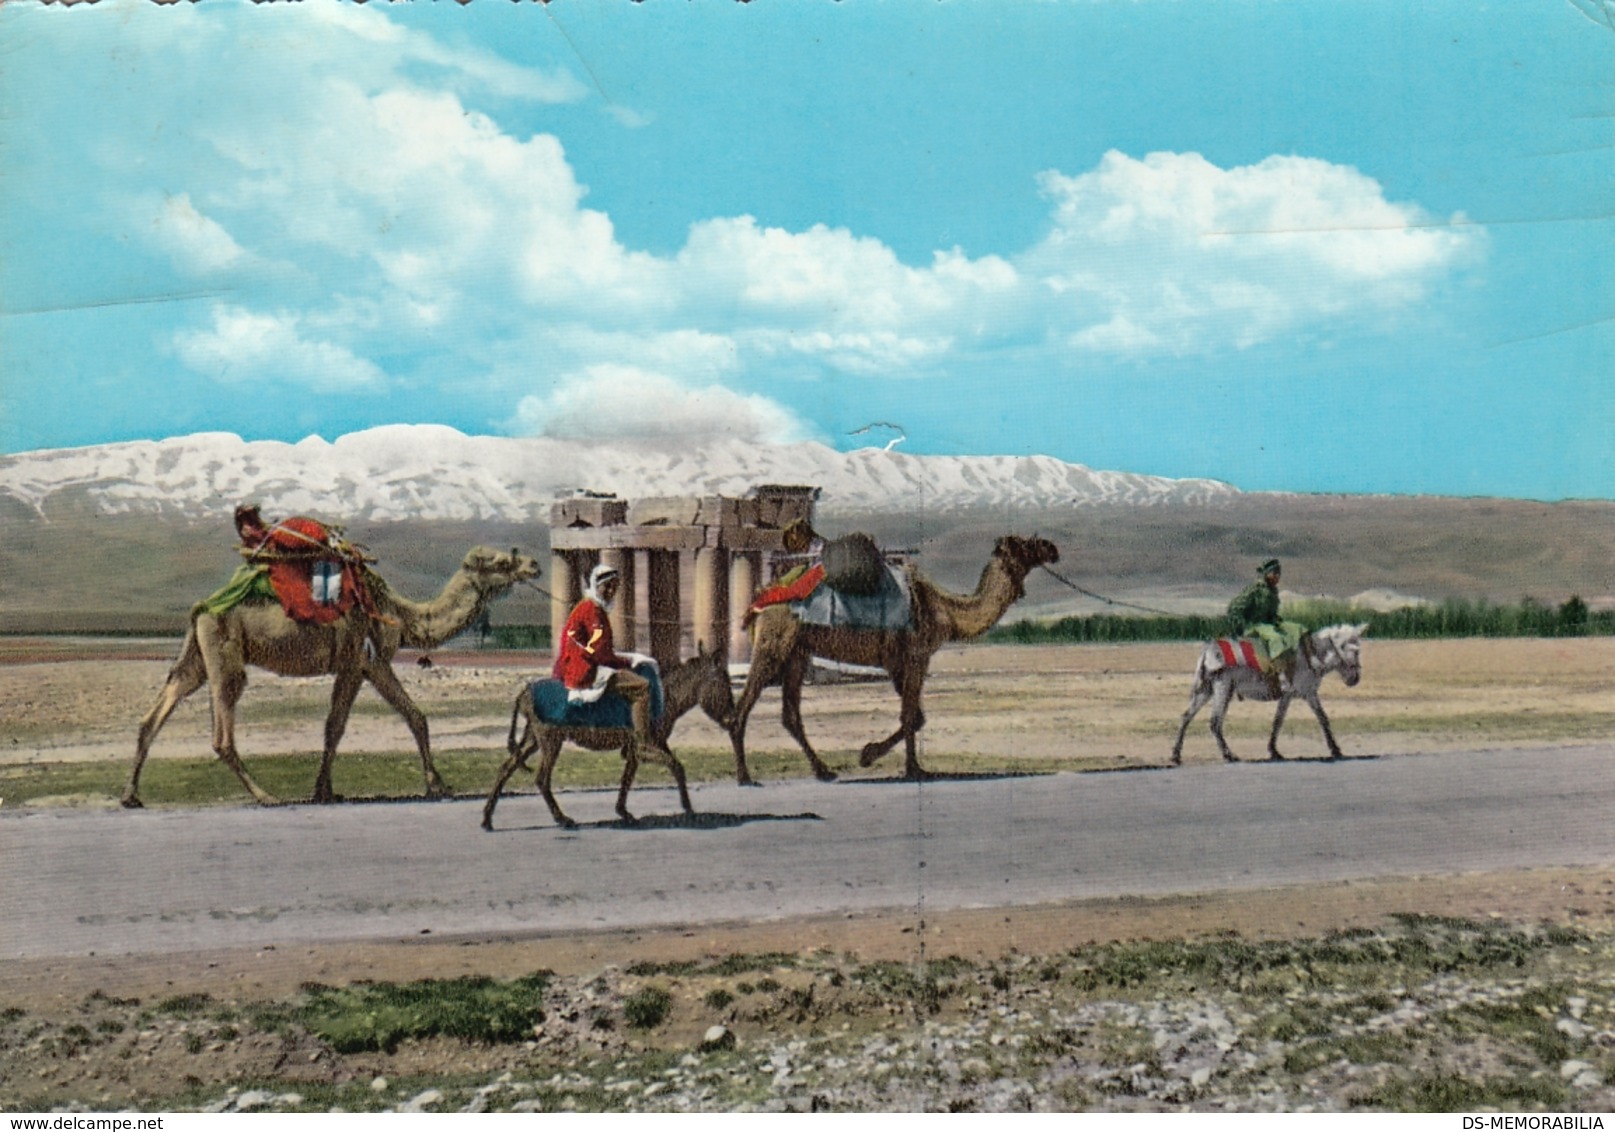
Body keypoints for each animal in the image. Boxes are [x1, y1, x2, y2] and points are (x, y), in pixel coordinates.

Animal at [119, 545, 545, 804]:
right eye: (502, 562)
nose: (535, 564)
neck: (401, 614)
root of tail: (202, 606)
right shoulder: (361, 660)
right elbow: (346, 725)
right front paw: (436, 785)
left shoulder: (366, 665)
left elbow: (403, 718)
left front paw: (327, 789)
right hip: (225, 656)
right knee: (222, 731)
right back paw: (264, 796)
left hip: (197, 657)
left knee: (154, 715)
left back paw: (130, 796)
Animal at [478, 645, 733, 833]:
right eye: (724, 681)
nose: (731, 719)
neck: (664, 697)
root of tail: (525, 691)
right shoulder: (645, 747)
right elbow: (676, 766)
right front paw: (689, 810)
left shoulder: (639, 749)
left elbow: (628, 778)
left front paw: (624, 812)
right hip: (551, 740)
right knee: (541, 778)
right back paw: (562, 819)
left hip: (533, 739)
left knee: (506, 767)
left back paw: (487, 820)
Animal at [729, 532, 1059, 781]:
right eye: (1025, 543)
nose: (1052, 548)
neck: (946, 611)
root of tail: (760, 598)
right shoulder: (916, 656)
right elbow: (911, 716)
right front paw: (905, 767)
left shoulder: (898, 663)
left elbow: (916, 716)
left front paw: (876, 756)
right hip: (774, 643)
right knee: (743, 707)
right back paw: (745, 776)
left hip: (798, 651)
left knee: (790, 714)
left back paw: (824, 771)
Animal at [1169, 623, 1369, 765]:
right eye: (1352, 650)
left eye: (1358, 651)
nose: (1355, 679)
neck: (1311, 654)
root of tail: (1207, 650)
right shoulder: (1303, 693)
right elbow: (1317, 718)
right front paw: (1335, 749)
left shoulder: (1297, 694)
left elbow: (1283, 721)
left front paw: (1274, 751)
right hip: (1223, 688)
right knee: (1215, 722)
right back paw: (1229, 755)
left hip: (1206, 690)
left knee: (1186, 716)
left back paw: (1176, 755)